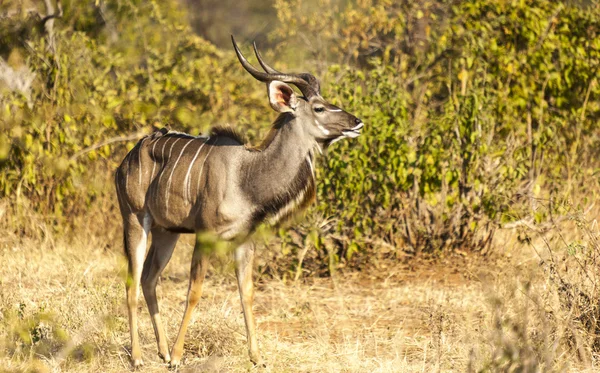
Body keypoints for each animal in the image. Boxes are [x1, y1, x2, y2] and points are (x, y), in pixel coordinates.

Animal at [115, 36, 364, 368]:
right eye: (319, 107)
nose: (357, 122)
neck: (245, 175)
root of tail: (127, 159)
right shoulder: (205, 237)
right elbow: (194, 292)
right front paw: (180, 358)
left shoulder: (245, 241)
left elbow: (246, 293)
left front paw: (257, 357)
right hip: (134, 220)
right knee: (132, 281)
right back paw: (140, 358)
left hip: (167, 232)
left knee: (149, 279)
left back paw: (163, 352)